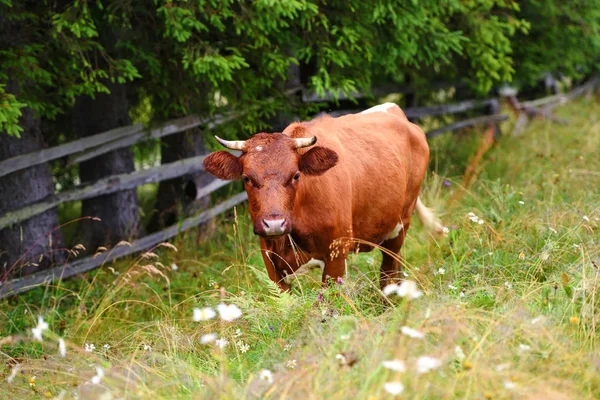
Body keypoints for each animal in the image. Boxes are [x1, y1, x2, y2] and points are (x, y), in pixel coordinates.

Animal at [204, 102, 442, 290]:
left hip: (400, 223)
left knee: (389, 271)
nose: (274, 224)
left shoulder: (336, 254)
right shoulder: (272, 263)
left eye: (296, 175)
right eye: (246, 178)